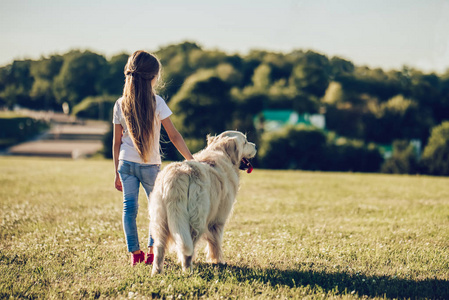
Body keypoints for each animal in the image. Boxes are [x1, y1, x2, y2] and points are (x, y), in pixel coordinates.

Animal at [149, 130, 256, 276]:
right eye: (245, 142)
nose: (255, 145)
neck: (222, 154)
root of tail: (176, 175)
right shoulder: (218, 220)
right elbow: (215, 242)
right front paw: (217, 261)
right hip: (196, 219)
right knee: (188, 248)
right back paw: (188, 270)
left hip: (160, 219)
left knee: (159, 247)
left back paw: (157, 272)